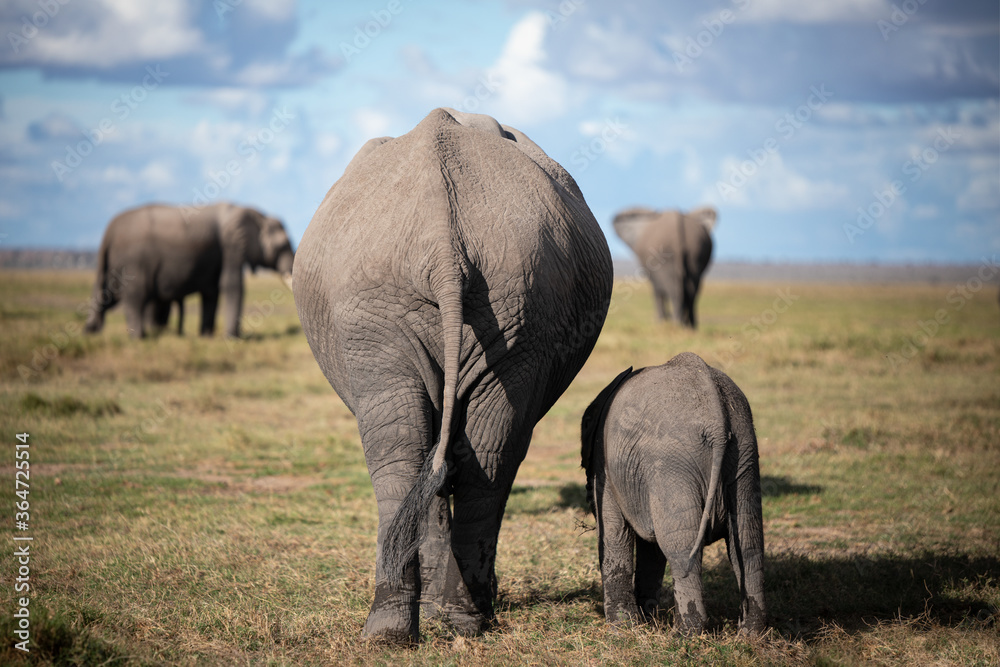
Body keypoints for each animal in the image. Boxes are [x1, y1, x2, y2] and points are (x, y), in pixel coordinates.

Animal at [84, 202, 294, 338]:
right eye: (283, 246)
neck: (257, 214)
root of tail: (108, 232)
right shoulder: (230, 245)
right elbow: (231, 285)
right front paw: (231, 338)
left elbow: (212, 292)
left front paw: (207, 336)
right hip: (134, 263)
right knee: (135, 298)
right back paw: (139, 338)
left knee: (108, 297)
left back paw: (91, 331)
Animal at [294, 108, 613, 643]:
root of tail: (443, 239)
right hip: (444, 302)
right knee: (464, 452)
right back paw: (432, 623)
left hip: (496, 302)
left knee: (443, 452)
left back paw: (428, 622)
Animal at [581, 352, 766, 634]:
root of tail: (717, 421)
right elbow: (651, 546)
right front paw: (645, 619)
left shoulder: (607, 469)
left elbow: (616, 533)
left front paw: (624, 627)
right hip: (744, 453)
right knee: (748, 544)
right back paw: (751, 635)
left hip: (672, 464)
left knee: (681, 546)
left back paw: (685, 634)